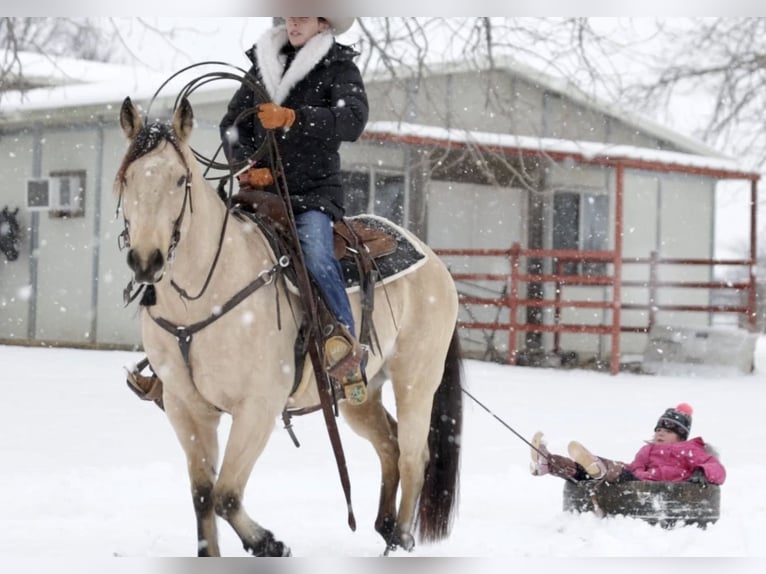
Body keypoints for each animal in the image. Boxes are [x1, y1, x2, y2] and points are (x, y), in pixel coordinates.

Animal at [113, 97, 462, 560]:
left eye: (180, 179)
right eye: (127, 178)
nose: (145, 260)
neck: (205, 297)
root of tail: (433, 259)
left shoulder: (257, 407)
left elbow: (226, 494)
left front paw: (269, 543)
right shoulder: (186, 408)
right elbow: (204, 495)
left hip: (416, 380)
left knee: (412, 454)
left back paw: (401, 538)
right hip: (360, 392)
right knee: (389, 444)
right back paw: (386, 527)